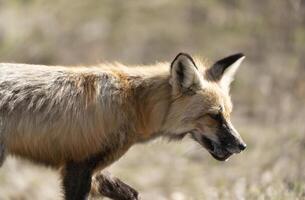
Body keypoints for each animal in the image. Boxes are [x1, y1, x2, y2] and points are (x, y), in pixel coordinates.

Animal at [0, 52, 246, 199]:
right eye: (214, 116)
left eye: (228, 115)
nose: (242, 145)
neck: (132, 104)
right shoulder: (79, 166)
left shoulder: (93, 170)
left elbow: (133, 194)